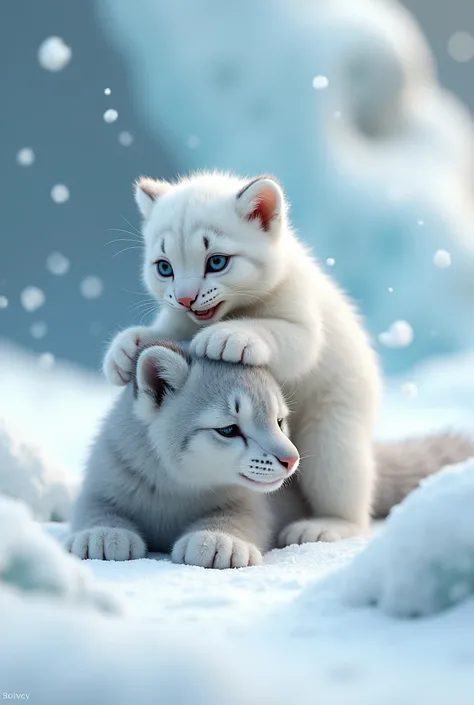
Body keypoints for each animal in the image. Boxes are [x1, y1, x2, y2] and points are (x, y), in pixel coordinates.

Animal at [104, 170, 382, 540]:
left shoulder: (304, 317)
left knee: (346, 486)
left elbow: (290, 337)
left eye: (216, 261)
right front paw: (123, 350)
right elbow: (163, 335)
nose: (186, 298)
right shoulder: (177, 321)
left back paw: (325, 526)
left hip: (333, 428)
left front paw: (227, 336)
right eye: (164, 267)